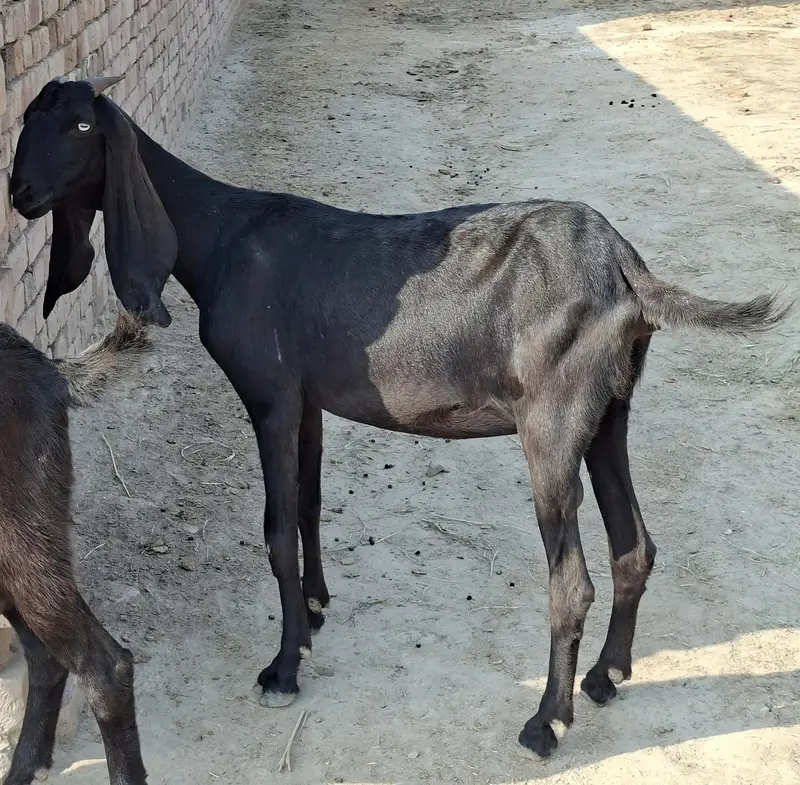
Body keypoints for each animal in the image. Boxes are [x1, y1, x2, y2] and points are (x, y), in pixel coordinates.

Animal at [9, 76, 791, 763]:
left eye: (83, 126)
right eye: (28, 119)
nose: (19, 193)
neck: (224, 235)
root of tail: (626, 268)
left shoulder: (271, 395)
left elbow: (276, 529)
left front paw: (283, 668)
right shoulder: (309, 399)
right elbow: (309, 505)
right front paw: (314, 612)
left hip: (553, 424)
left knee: (573, 582)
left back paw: (546, 721)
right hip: (609, 413)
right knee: (635, 548)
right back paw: (606, 677)